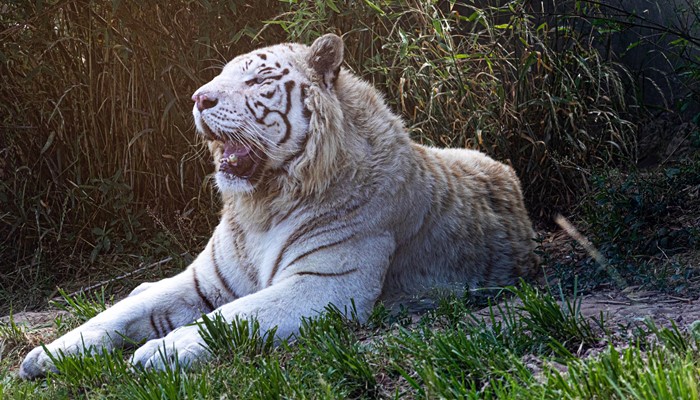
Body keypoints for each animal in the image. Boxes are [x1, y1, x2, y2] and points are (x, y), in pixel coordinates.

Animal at [20, 34, 536, 378]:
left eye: (257, 79)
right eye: (221, 76)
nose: (198, 98)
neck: (263, 204)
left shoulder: (327, 284)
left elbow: (233, 316)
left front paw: (163, 350)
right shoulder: (204, 280)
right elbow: (115, 315)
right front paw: (46, 354)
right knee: (139, 292)